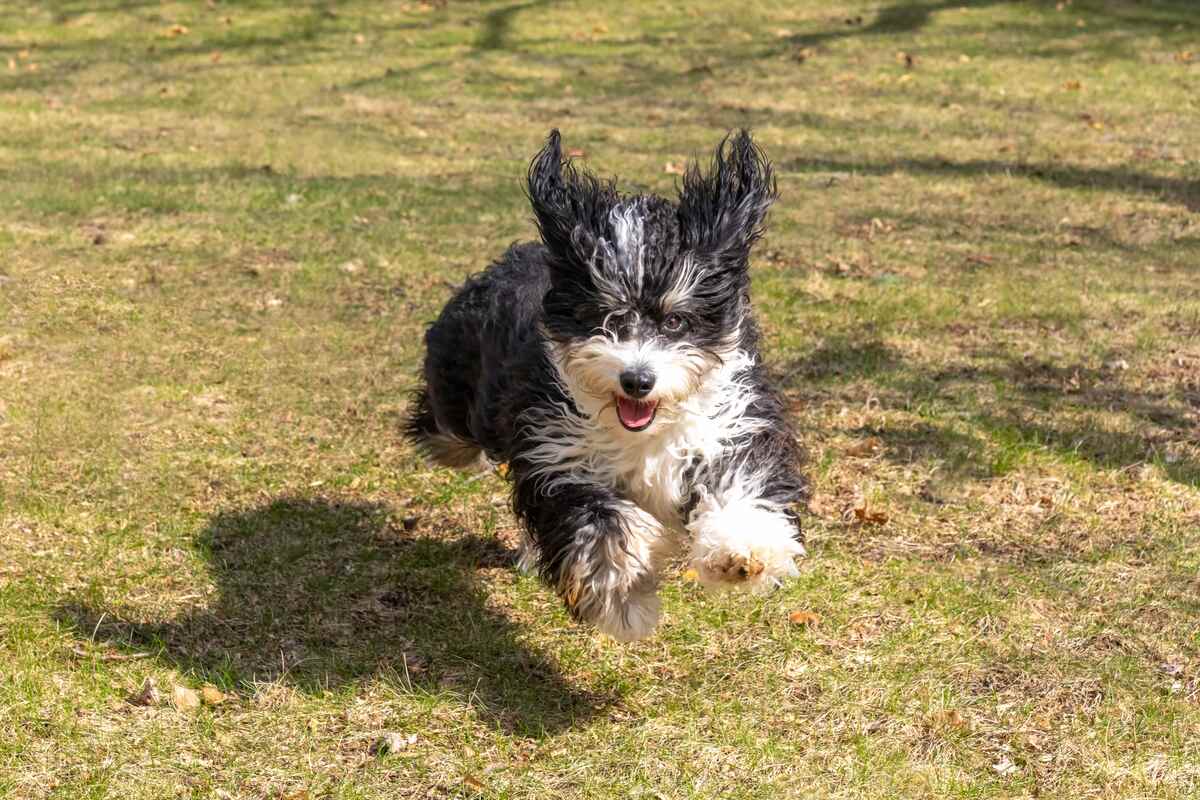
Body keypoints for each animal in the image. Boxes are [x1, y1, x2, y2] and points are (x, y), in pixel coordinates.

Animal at [408, 131, 811, 642]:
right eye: (603, 316)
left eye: (676, 320)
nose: (637, 380)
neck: (641, 432)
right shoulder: (559, 458)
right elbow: (604, 528)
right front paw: (625, 602)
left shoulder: (730, 427)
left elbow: (741, 485)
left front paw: (740, 551)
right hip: (461, 397)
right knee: (448, 429)